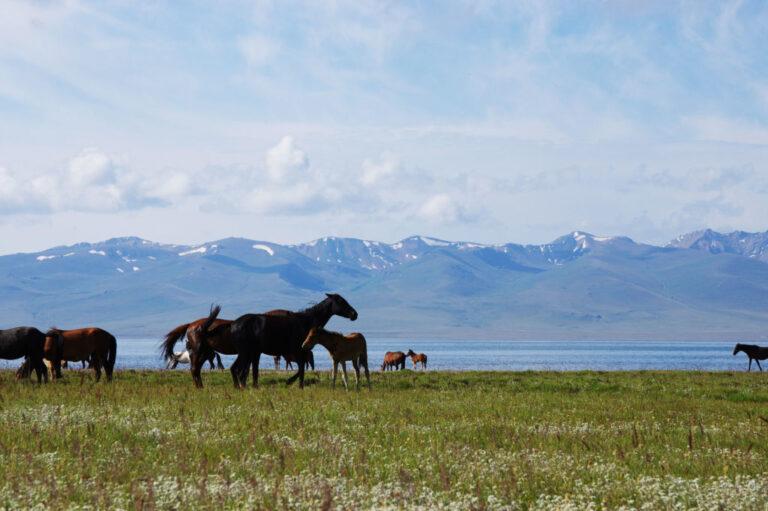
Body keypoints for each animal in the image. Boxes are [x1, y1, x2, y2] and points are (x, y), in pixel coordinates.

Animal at [203, 293, 358, 388]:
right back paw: (239, 387)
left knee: (239, 370)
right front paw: (294, 383)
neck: (306, 322)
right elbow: (301, 369)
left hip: (248, 352)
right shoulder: (299, 350)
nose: (354, 314)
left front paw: (294, 383)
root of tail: (232, 324)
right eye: (341, 301)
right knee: (235, 369)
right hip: (245, 352)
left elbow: (301, 368)